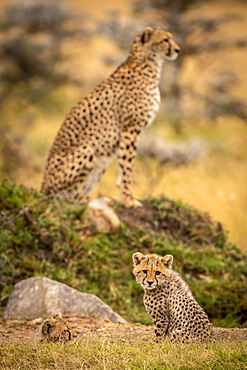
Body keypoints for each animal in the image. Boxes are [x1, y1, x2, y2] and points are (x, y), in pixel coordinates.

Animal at [40, 27, 179, 207]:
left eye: (171, 38)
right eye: (165, 40)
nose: (178, 50)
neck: (149, 63)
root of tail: (42, 187)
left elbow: (125, 167)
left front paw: (125, 197)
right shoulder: (130, 130)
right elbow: (127, 166)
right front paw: (128, 200)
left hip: (101, 163)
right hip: (86, 149)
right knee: (65, 196)